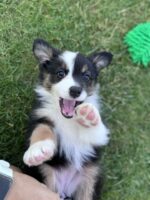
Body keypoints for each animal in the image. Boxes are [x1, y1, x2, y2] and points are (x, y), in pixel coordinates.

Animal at [23, 38, 112, 199]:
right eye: (60, 73)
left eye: (86, 76)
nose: (75, 90)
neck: (67, 119)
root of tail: (65, 189)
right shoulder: (40, 117)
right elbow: (41, 130)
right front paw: (37, 150)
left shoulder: (100, 138)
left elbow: (97, 132)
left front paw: (88, 114)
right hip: (45, 176)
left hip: (90, 181)